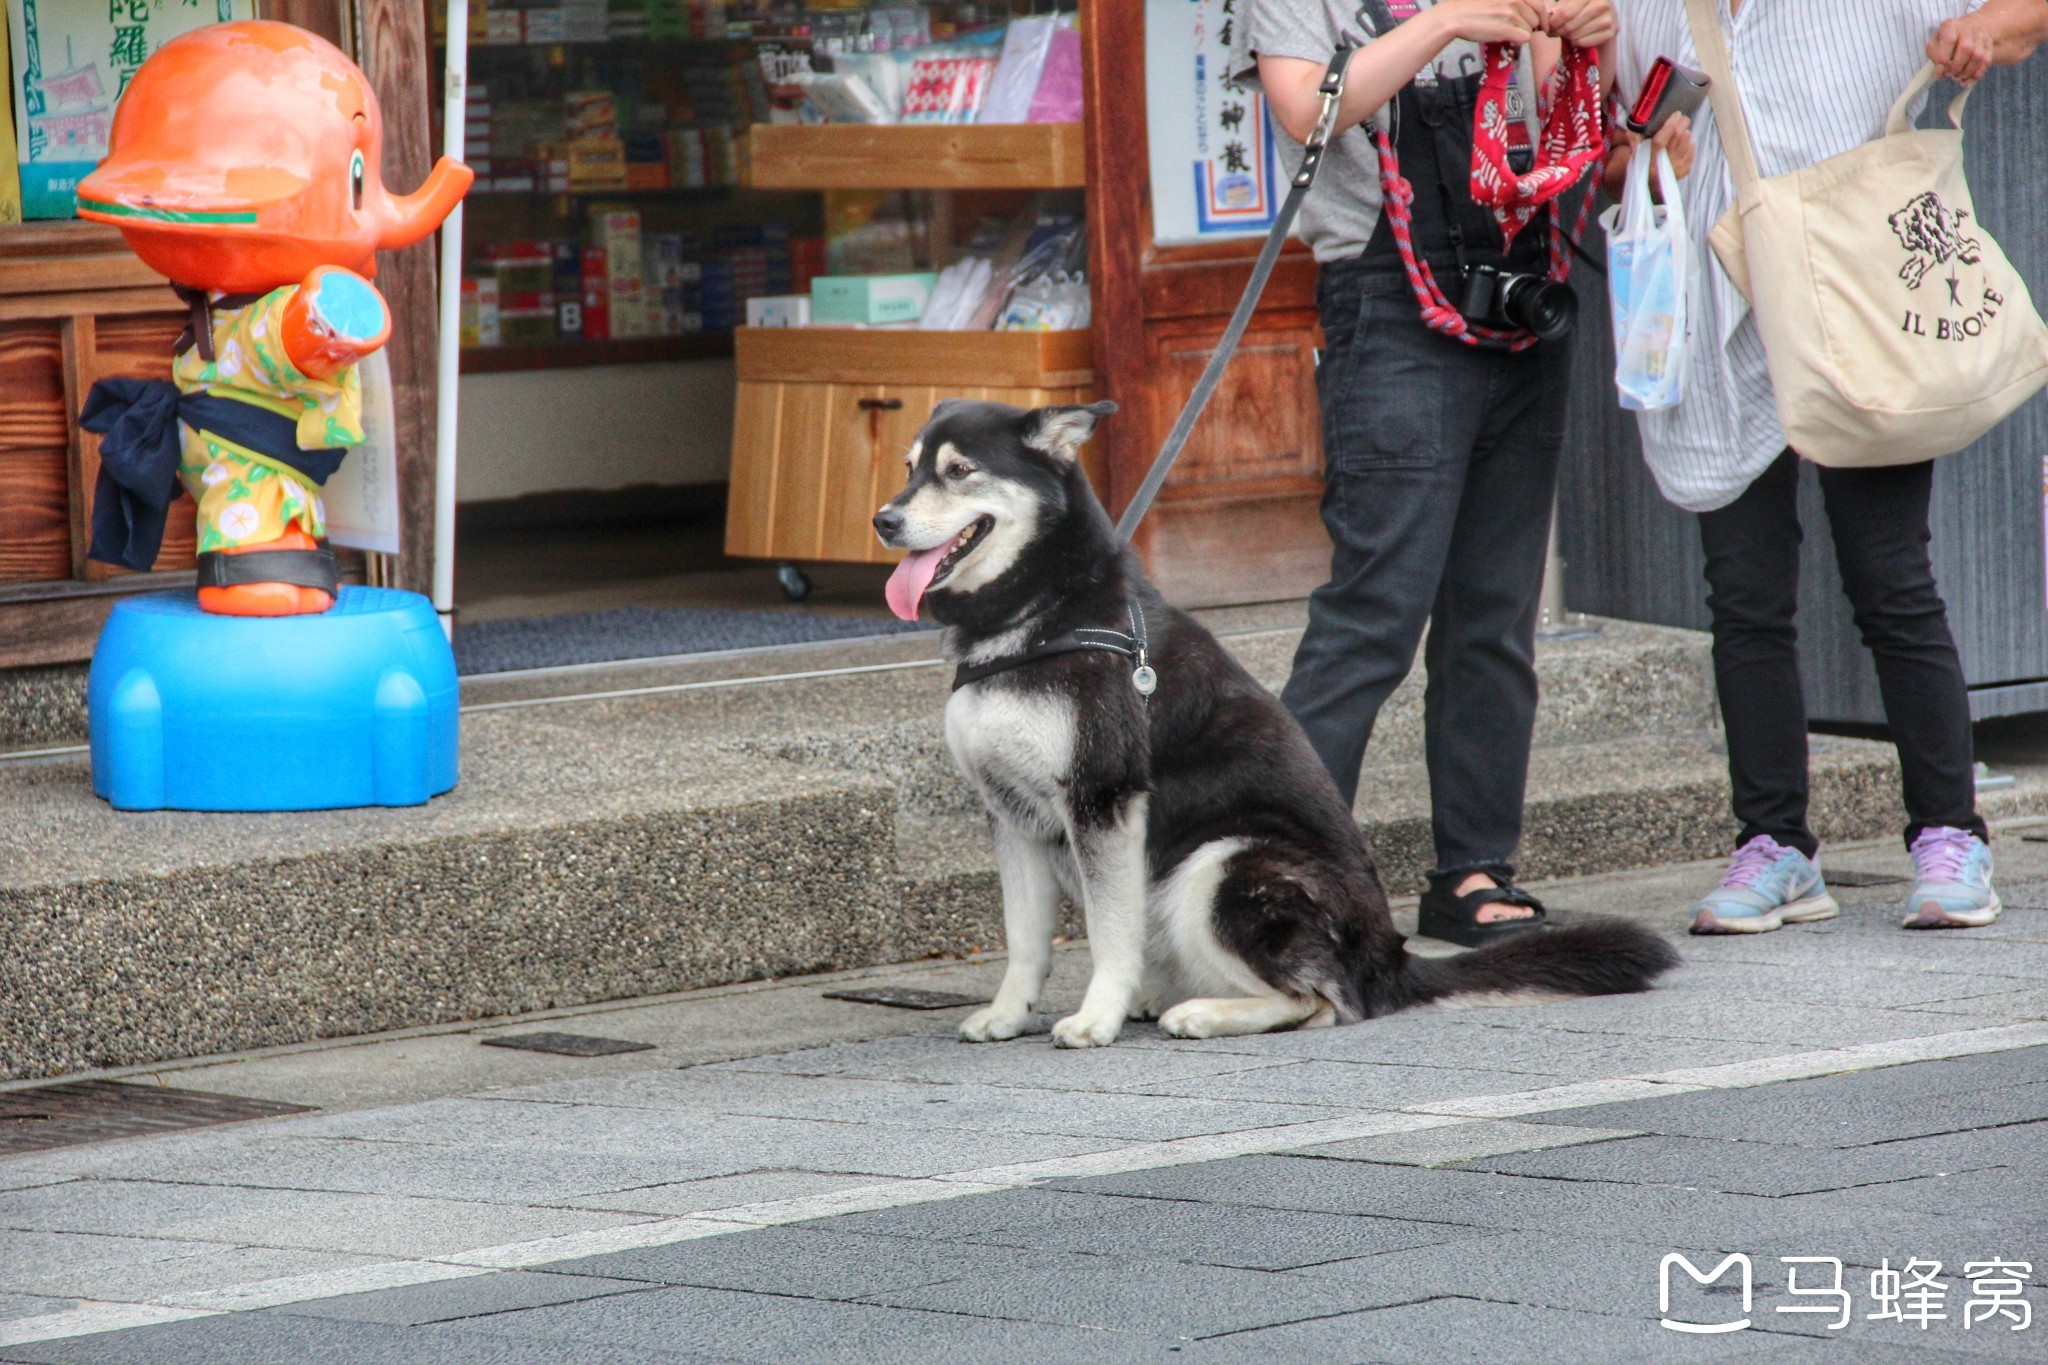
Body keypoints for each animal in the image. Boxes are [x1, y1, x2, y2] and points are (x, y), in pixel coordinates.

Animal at [872, 401, 1671, 1055]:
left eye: (960, 471)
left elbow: (1108, 933)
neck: (1039, 615)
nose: (883, 519)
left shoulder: (1104, 800)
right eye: (909, 468)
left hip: (1223, 865)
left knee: (1322, 1001)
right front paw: (1009, 1014)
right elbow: (1024, 940)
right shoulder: (1010, 813)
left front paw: (1096, 1018)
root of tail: (1390, 956)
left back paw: (1200, 1012)